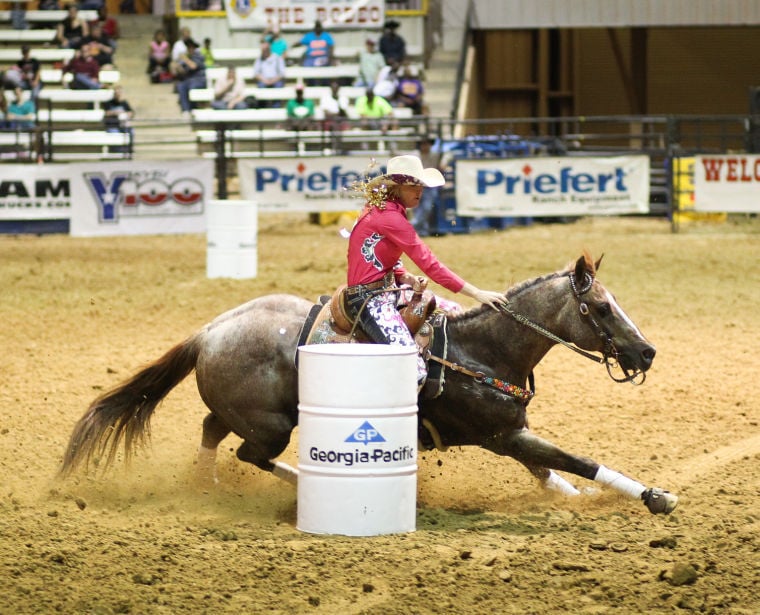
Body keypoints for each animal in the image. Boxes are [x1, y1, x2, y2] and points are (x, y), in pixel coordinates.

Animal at [59, 253, 676, 516]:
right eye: (601, 307)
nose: (646, 351)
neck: (483, 350)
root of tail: (208, 331)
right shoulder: (500, 437)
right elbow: (572, 459)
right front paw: (655, 496)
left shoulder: (511, 434)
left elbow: (550, 470)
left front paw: (576, 497)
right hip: (272, 426)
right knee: (248, 452)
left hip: (249, 413)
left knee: (212, 431)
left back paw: (204, 487)